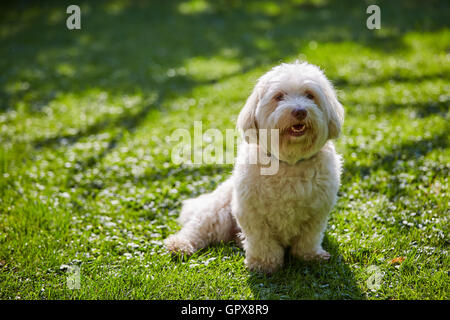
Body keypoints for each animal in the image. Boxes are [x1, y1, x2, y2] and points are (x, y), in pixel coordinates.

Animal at [165, 62, 344, 272]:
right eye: (279, 96)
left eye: (310, 95)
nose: (300, 111)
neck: (289, 161)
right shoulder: (253, 213)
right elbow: (262, 241)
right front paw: (264, 264)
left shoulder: (316, 213)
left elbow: (309, 238)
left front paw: (309, 256)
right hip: (217, 214)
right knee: (197, 229)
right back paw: (179, 244)